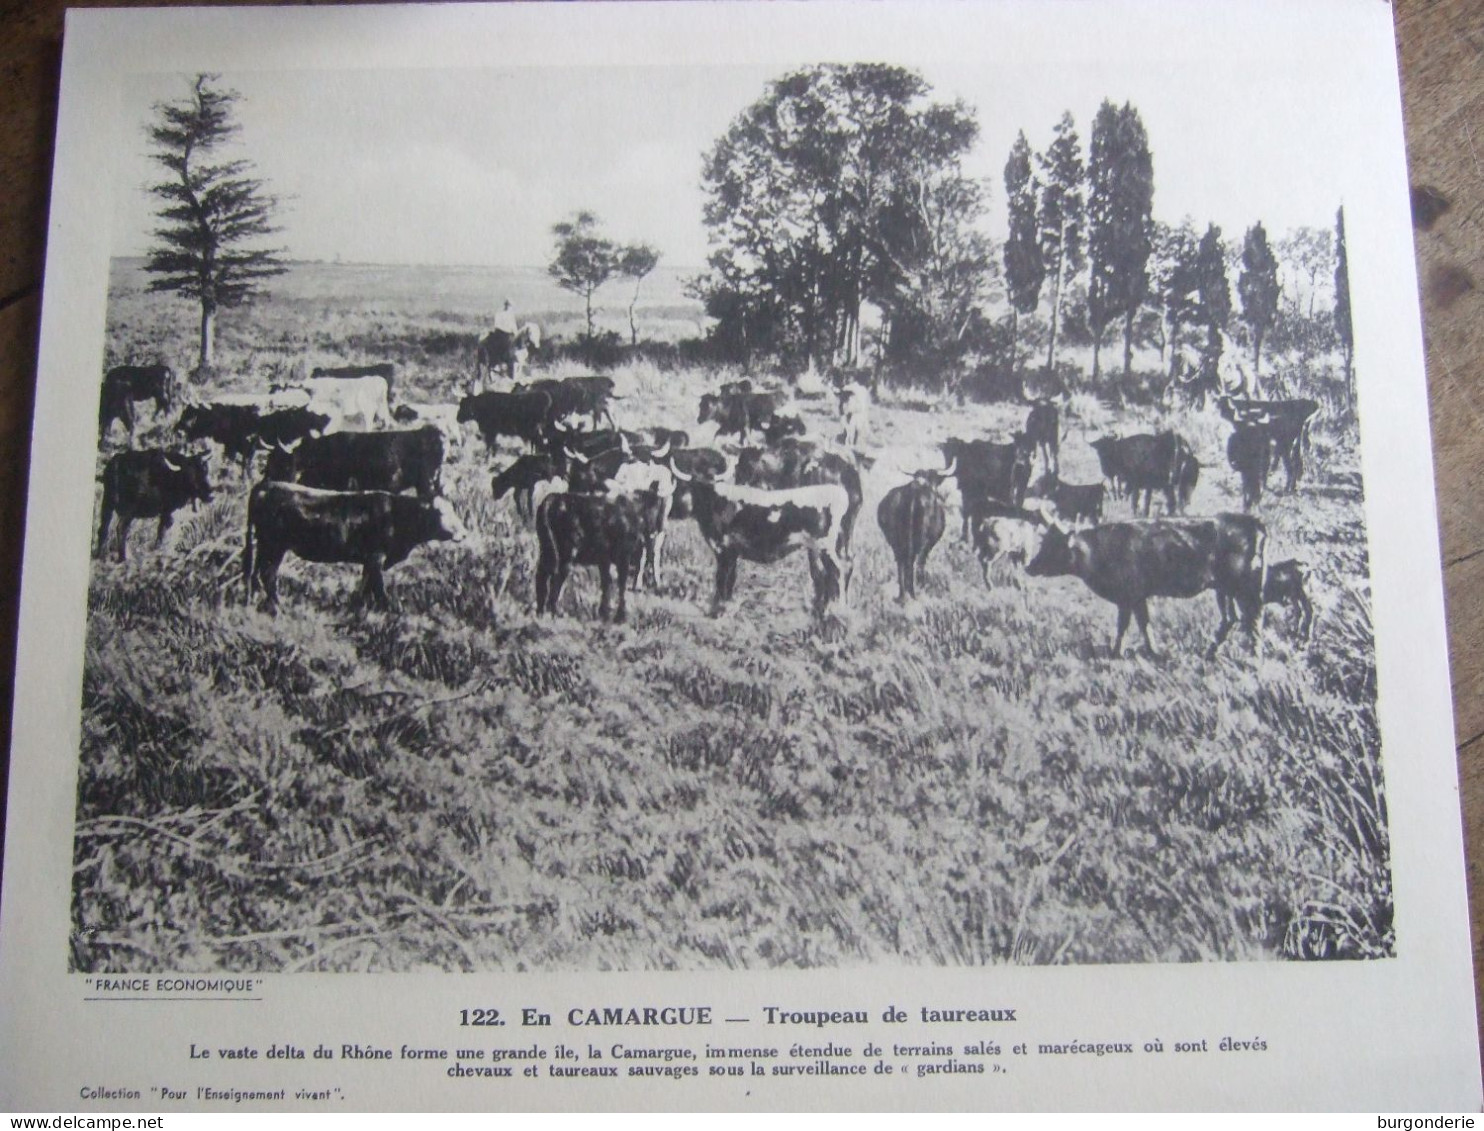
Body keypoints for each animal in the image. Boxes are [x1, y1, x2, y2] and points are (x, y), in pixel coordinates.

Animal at [243, 480, 463, 611]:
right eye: (440, 512)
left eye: (454, 510)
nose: (462, 532)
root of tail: (266, 485)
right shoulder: (376, 556)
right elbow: (378, 587)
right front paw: (391, 609)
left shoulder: (369, 560)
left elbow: (364, 586)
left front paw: (357, 608)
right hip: (274, 545)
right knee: (268, 574)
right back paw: (278, 606)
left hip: (264, 544)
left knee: (256, 573)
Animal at [878, 466, 949, 599]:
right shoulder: (928, 544)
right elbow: (921, 562)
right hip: (922, 539)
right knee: (915, 561)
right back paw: (912, 593)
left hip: (895, 539)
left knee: (901, 561)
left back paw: (902, 594)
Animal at [1026, 513, 1270, 656]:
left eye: (1053, 545)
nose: (1029, 567)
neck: (1100, 548)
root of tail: (1254, 521)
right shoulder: (1138, 598)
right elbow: (1145, 623)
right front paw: (1153, 651)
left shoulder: (1128, 597)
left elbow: (1124, 626)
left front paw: (1116, 652)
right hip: (1224, 589)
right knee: (1232, 619)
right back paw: (1210, 653)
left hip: (1244, 588)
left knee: (1253, 620)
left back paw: (1254, 656)